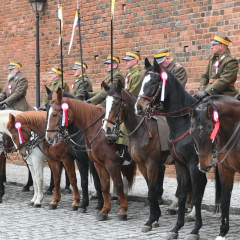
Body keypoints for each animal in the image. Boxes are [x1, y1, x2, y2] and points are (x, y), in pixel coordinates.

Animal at [44, 90, 135, 221]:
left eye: (55, 114)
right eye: (47, 108)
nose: (48, 138)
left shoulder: (97, 163)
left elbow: (100, 183)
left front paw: (100, 206)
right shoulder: (81, 161)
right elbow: (83, 182)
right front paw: (83, 204)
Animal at [134, 57, 207, 240]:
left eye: (154, 82)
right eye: (142, 81)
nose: (139, 107)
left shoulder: (193, 164)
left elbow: (196, 196)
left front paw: (195, 230)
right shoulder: (181, 165)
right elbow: (182, 195)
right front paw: (176, 228)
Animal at [188, 94, 240, 239]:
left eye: (211, 130)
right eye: (191, 133)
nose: (204, 166)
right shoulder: (225, 170)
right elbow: (225, 200)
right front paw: (222, 232)